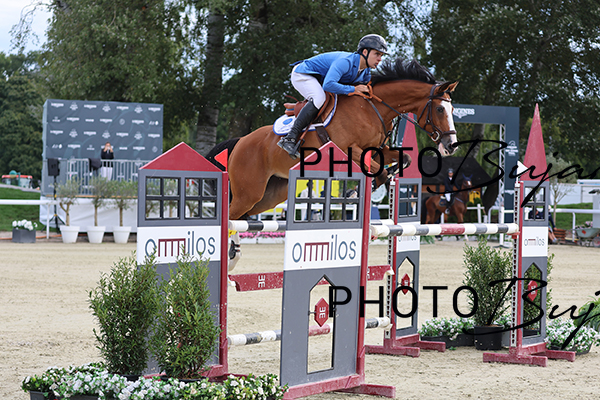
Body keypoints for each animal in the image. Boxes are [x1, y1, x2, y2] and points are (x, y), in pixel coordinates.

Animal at [208, 58, 459, 221]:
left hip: (267, 196)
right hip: (248, 192)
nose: (451, 145)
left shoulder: (378, 149)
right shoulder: (350, 149)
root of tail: (241, 141)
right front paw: (364, 188)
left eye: (452, 108)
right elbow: (377, 169)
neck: (373, 108)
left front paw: (384, 178)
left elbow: (403, 158)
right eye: (439, 109)